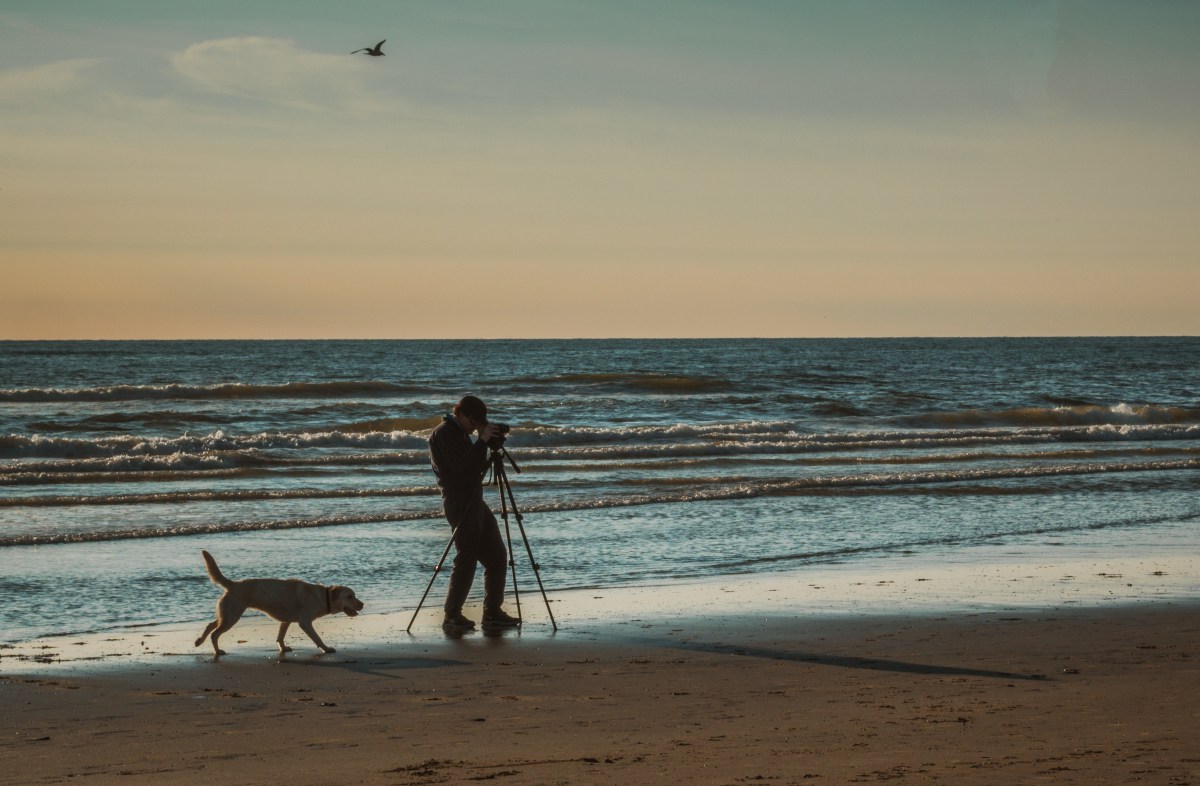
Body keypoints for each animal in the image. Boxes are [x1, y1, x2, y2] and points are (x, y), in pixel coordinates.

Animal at [194, 549, 362, 652]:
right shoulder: (305, 622)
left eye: (354, 595)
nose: (362, 604)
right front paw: (326, 649)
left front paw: (283, 648)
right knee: (214, 634)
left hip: (227, 614)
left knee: (211, 625)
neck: (323, 596)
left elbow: (281, 636)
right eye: (350, 596)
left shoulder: (286, 621)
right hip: (231, 616)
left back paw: (199, 641)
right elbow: (317, 638)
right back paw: (217, 651)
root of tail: (233, 584)